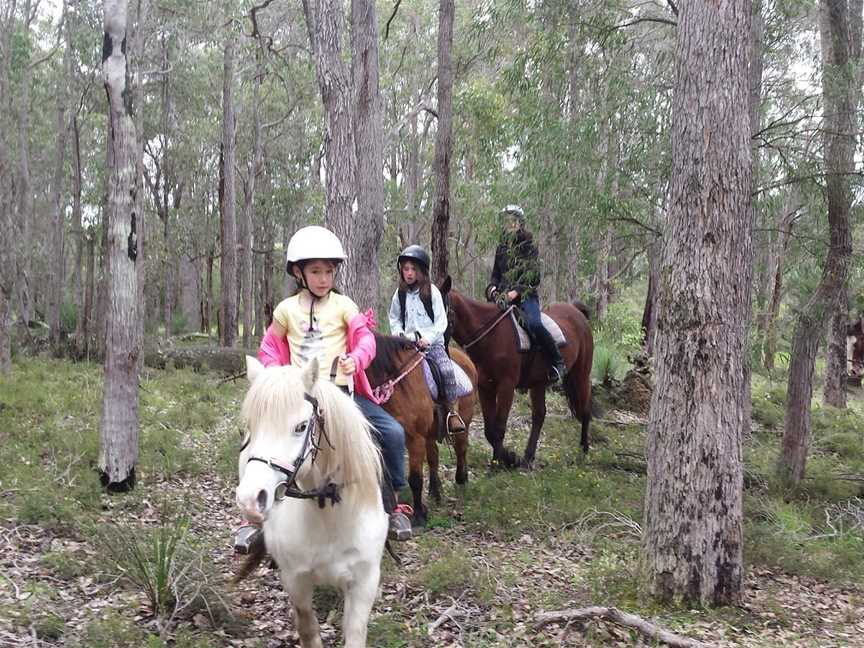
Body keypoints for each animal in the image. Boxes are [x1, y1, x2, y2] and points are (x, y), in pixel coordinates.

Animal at [235, 356, 386, 644]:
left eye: (301, 427)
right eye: (250, 426)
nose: (251, 499)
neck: (328, 515)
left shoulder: (364, 581)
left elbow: (355, 634)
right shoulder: (296, 579)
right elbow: (308, 628)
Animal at [362, 334, 476, 528]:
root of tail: (465, 358)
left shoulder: (414, 438)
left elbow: (415, 479)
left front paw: (419, 515)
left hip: (463, 422)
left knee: (461, 449)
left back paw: (461, 480)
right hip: (429, 433)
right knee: (434, 457)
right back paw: (435, 492)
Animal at [442, 276, 592, 468]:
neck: (490, 336)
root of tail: (577, 312)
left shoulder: (506, 386)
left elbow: (499, 428)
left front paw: (498, 464)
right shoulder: (485, 387)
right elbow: (489, 430)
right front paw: (509, 458)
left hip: (581, 373)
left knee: (585, 408)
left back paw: (584, 450)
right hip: (539, 383)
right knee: (539, 415)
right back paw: (527, 457)